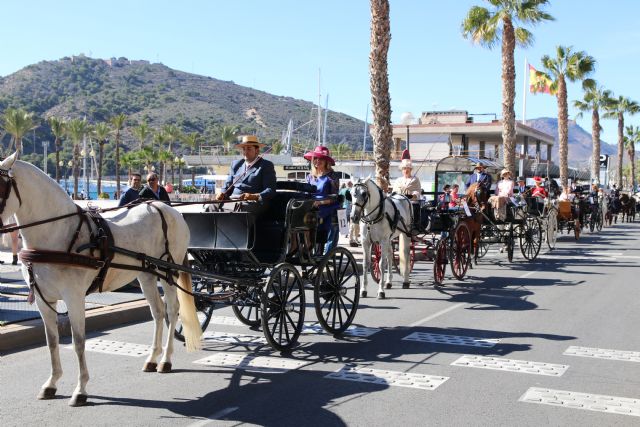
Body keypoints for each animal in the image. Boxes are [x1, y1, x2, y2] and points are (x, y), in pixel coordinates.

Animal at [0, 155, 200, 408]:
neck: (58, 232)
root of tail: (166, 208)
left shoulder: (74, 298)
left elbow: (78, 342)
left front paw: (81, 389)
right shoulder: (44, 300)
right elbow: (52, 341)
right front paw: (52, 383)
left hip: (168, 272)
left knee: (173, 310)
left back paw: (165, 360)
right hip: (146, 274)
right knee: (158, 312)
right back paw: (152, 358)